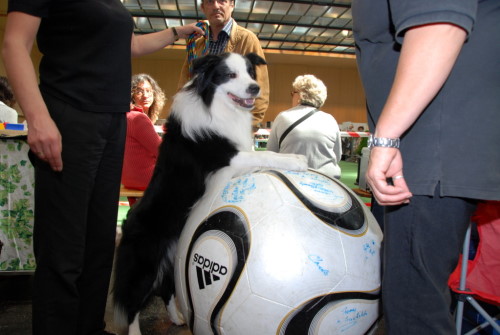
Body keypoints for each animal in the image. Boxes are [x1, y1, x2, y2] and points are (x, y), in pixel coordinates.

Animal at [114, 53, 308, 335]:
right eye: (230, 75)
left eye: (250, 73)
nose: (255, 88)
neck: (216, 105)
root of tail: (127, 222)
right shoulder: (227, 160)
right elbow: (265, 155)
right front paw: (296, 160)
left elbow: (263, 153)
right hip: (144, 265)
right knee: (131, 304)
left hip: (171, 259)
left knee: (167, 290)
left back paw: (177, 318)